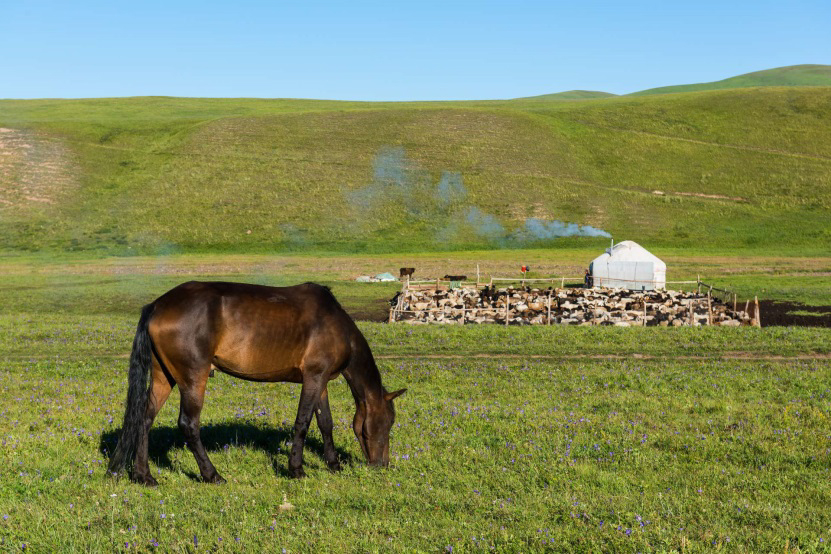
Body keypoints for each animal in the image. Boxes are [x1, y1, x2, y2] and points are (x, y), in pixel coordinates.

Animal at [107, 280, 406, 484]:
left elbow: (325, 423)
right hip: (193, 379)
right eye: (388, 422)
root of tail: (157, 305)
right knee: (188, 424)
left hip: (163, 377)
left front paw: (333, 464)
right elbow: (303, 422)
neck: (335, 324)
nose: (383, 465)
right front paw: (296, 469)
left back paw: (144, 476)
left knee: (144, 419)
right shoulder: (313, 378)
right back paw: (212, 474)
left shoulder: (320, 381)